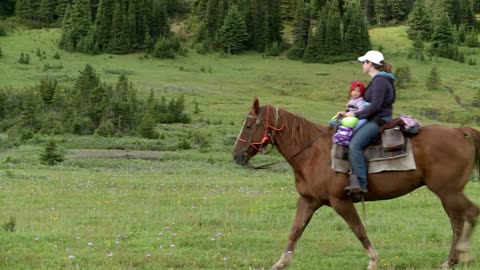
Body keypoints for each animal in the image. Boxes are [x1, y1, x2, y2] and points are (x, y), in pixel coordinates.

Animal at [232, 97, 480, 270]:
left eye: (249, 126)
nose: (236, 155)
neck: (313, 154)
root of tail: (461, 131)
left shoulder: (340, 201)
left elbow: (359, 229)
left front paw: (373, 260)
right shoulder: (309, 201)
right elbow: (295, 230)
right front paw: (281, 262)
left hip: (448, 191)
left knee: (469, 213)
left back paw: (465, 254)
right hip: (448, 193)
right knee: (458, 220)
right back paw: (451, 260)